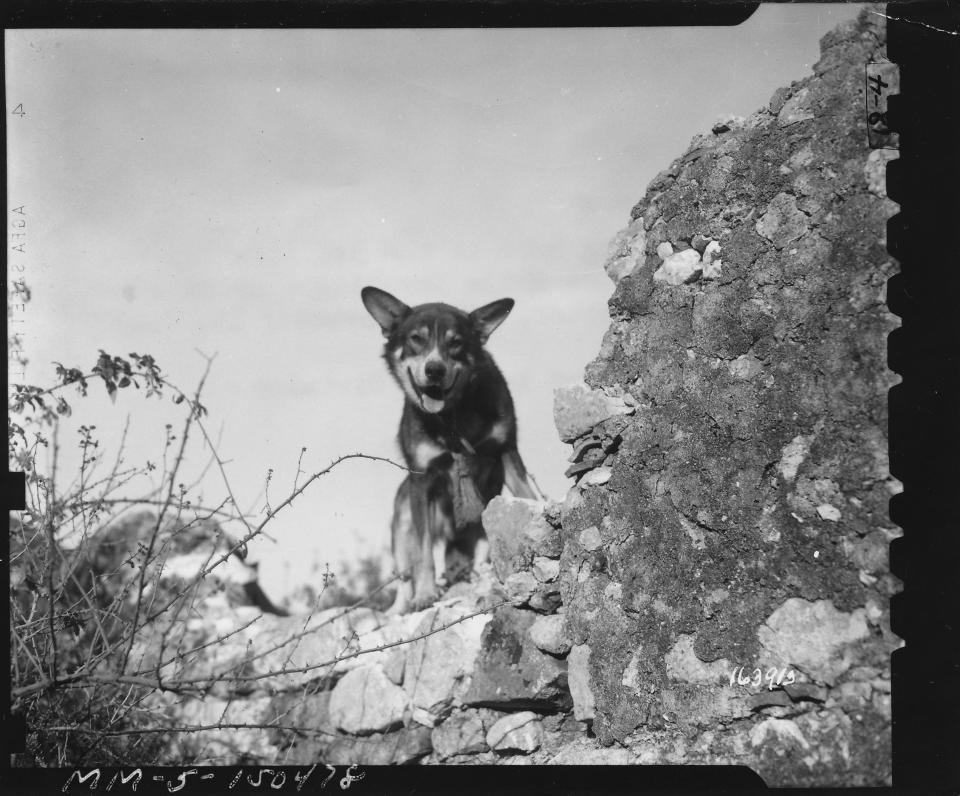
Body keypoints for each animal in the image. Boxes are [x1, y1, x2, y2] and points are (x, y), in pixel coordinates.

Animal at [362, 288, 540, 616]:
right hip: (401, 521)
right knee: (404, 575)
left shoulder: (506, 452)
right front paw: (425, 594)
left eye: (456, 342)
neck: (453, 417)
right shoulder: (421, 478)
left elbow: (528, 498)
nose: (434, 370)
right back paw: (402, 606)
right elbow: (422, 553)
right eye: (416, 339)